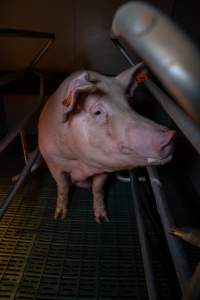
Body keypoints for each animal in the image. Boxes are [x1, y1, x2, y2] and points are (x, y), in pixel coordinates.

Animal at [38, 63, 175, 223]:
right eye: (98, 112)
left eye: (130, 105)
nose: (170, 135)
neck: (81, 163)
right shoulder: (52, 161)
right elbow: (63, 186)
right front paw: (59, 217)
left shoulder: (103, 169)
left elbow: (98, 188)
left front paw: (102, 219)